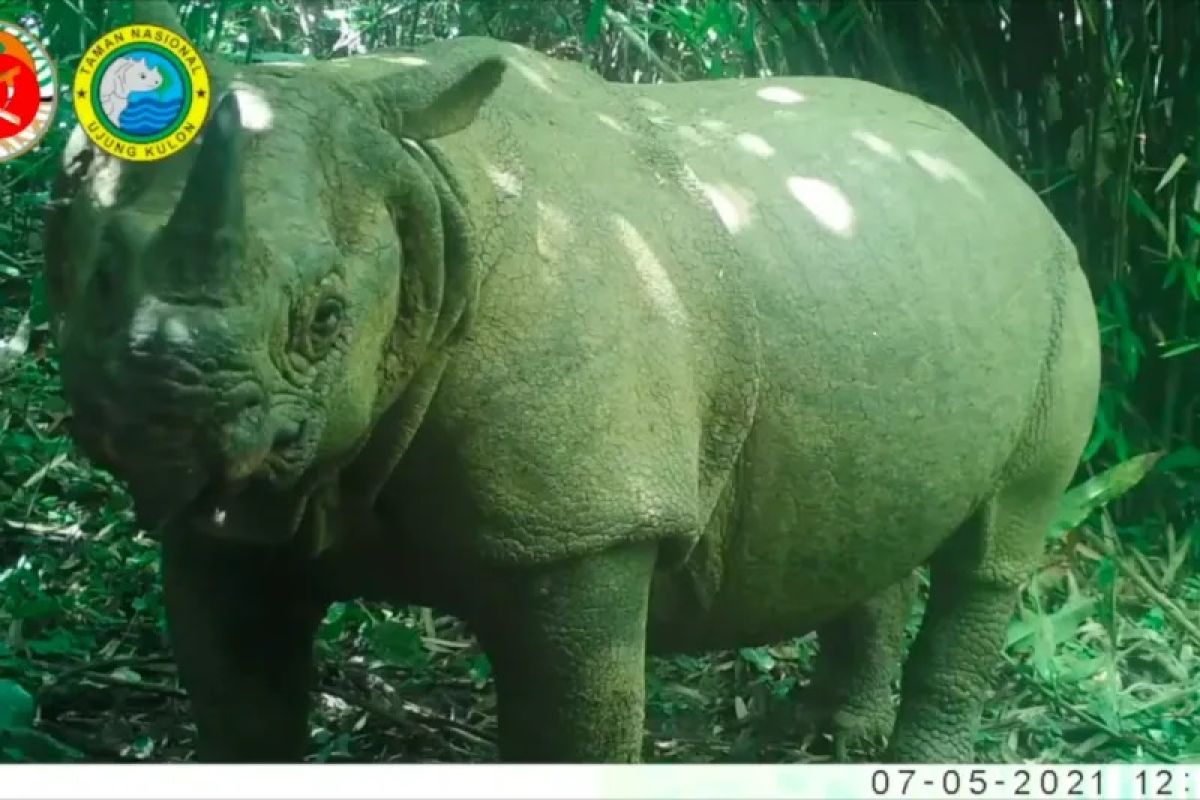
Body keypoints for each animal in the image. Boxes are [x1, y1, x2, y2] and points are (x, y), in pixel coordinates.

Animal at [44, 1, 1099, 762]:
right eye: (97, 282)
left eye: (328, 318)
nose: (167, 409)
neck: (426, 194)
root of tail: (1001, 166)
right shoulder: (238, 525)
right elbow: (241, 707)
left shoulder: (585, 528)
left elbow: (571, 725)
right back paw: (833, 740)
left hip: (1060, 283)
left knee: (994, 545)